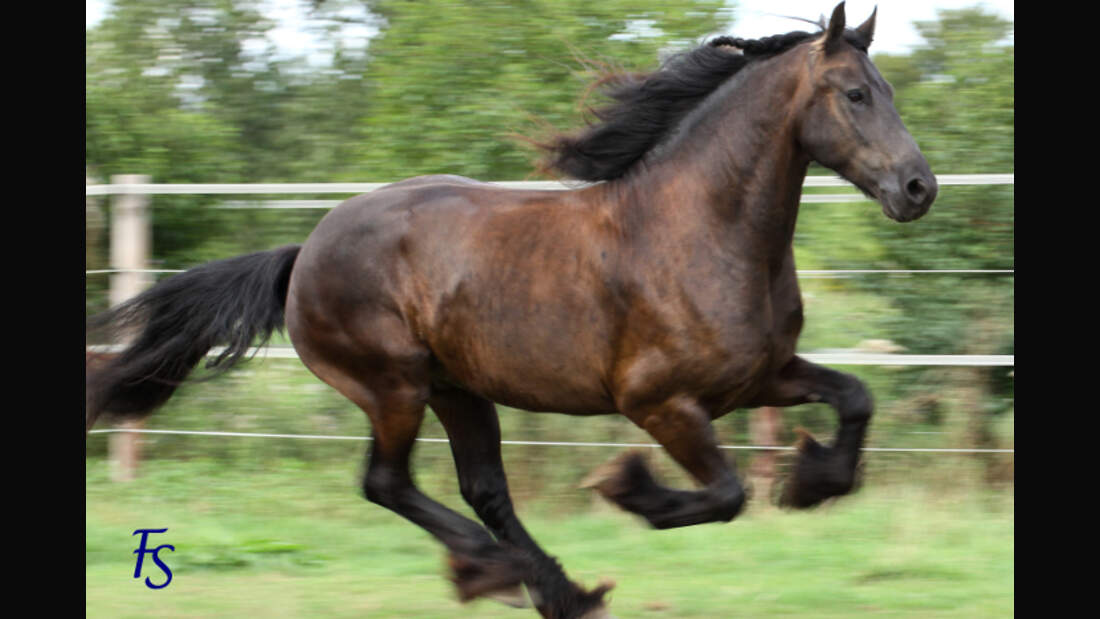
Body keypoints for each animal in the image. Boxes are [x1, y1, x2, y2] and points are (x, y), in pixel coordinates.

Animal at [88, 3, 937, 615]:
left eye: (891, 91)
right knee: (387, 483)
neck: (701, 229)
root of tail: (306, 252)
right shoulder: (658, 401)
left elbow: (855, 397)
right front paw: (630, 488)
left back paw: (560, 589)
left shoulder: (761, 375)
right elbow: (726, 493)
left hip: (459, 388)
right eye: (856, 94)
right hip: (393, 384)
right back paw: (500, 571)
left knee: (482, 488)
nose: (918, 188)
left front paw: (811, 482)